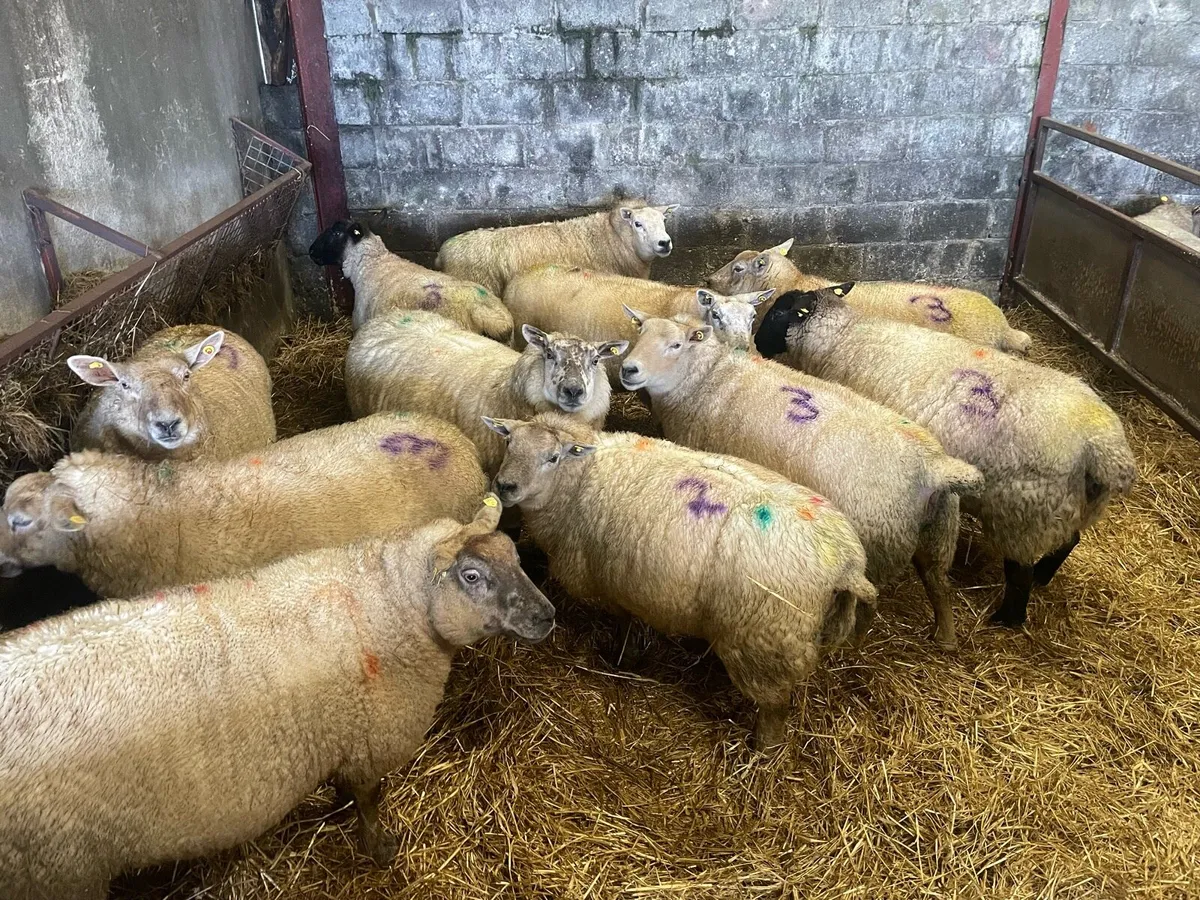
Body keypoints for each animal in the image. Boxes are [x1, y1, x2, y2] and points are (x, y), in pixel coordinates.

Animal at [0, 495, 554, 900]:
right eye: (471, 576)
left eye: (516, 556)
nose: (547, 615)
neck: (393, 604)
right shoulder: (372, 739)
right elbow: (369, 801)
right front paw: (381, 848)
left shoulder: (347, 739)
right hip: (58, 868)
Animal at [484, 412, 877, 749]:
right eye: (509, 444)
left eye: (552, 457)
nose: (504, 486)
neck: (581, 476)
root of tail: (847, 564)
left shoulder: (609, 582)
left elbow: (624, 622)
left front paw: (623, 658)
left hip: (765, 640)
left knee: (774, 709)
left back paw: (762, 751)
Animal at [619, 311, 983, 648]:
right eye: (640, 333)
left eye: (676, 345)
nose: (628, 369)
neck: (708, 377)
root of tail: (935, 466)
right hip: (939, 532)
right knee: (938, 582)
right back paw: (946, 638)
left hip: (881, 541)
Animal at [755, 283, 1137, 628]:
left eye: (776, 314)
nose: (757, 344)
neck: (843, 336)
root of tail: (1104, 445)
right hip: (1069, 506)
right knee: (1069, 540)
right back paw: (1044, 576)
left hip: (1024, 512)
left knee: (1020, 573)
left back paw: (1006, 620)